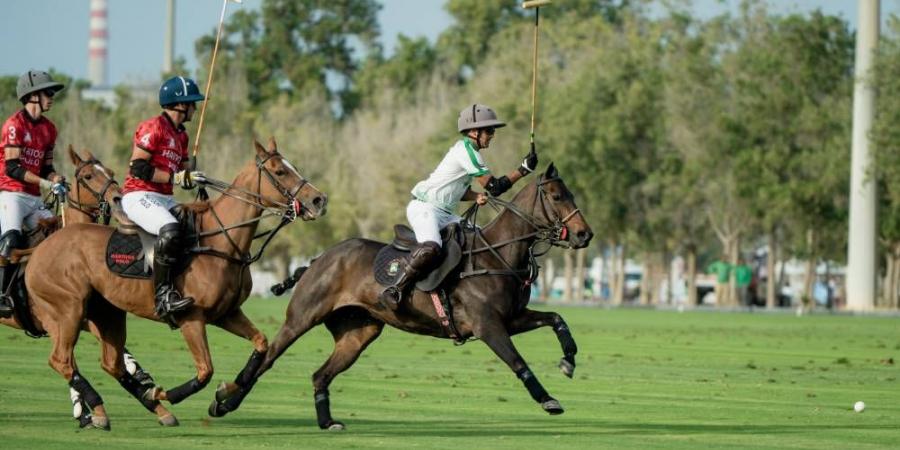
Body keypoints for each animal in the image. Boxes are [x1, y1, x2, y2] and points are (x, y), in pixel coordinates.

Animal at [20, 139, 326, 430]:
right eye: (279, 171)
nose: (319, 200)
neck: (221, 242)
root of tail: (41, 248)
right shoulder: (192, 318)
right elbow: (205, 371)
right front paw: (163, 393)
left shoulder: (226, 314)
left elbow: (261, 344)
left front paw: (225, 394)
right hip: (68, 310)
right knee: (61, 360)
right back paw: (106, 410)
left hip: (107, 313)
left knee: (111, 363)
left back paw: (136, 411)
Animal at [209, 164, 592, 428]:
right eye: (557, 196)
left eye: (572, 194)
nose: (584, 234)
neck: (495, 256)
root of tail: (318, 259)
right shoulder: (488, 326)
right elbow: (518, 362)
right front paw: (548, 400)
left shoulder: (511, 318)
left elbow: (557, 319)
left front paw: (569, 361)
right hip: (302, 316)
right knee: (269, 356)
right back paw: (224, 402)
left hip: (359, 333)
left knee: (320, 374)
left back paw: (327, 422)